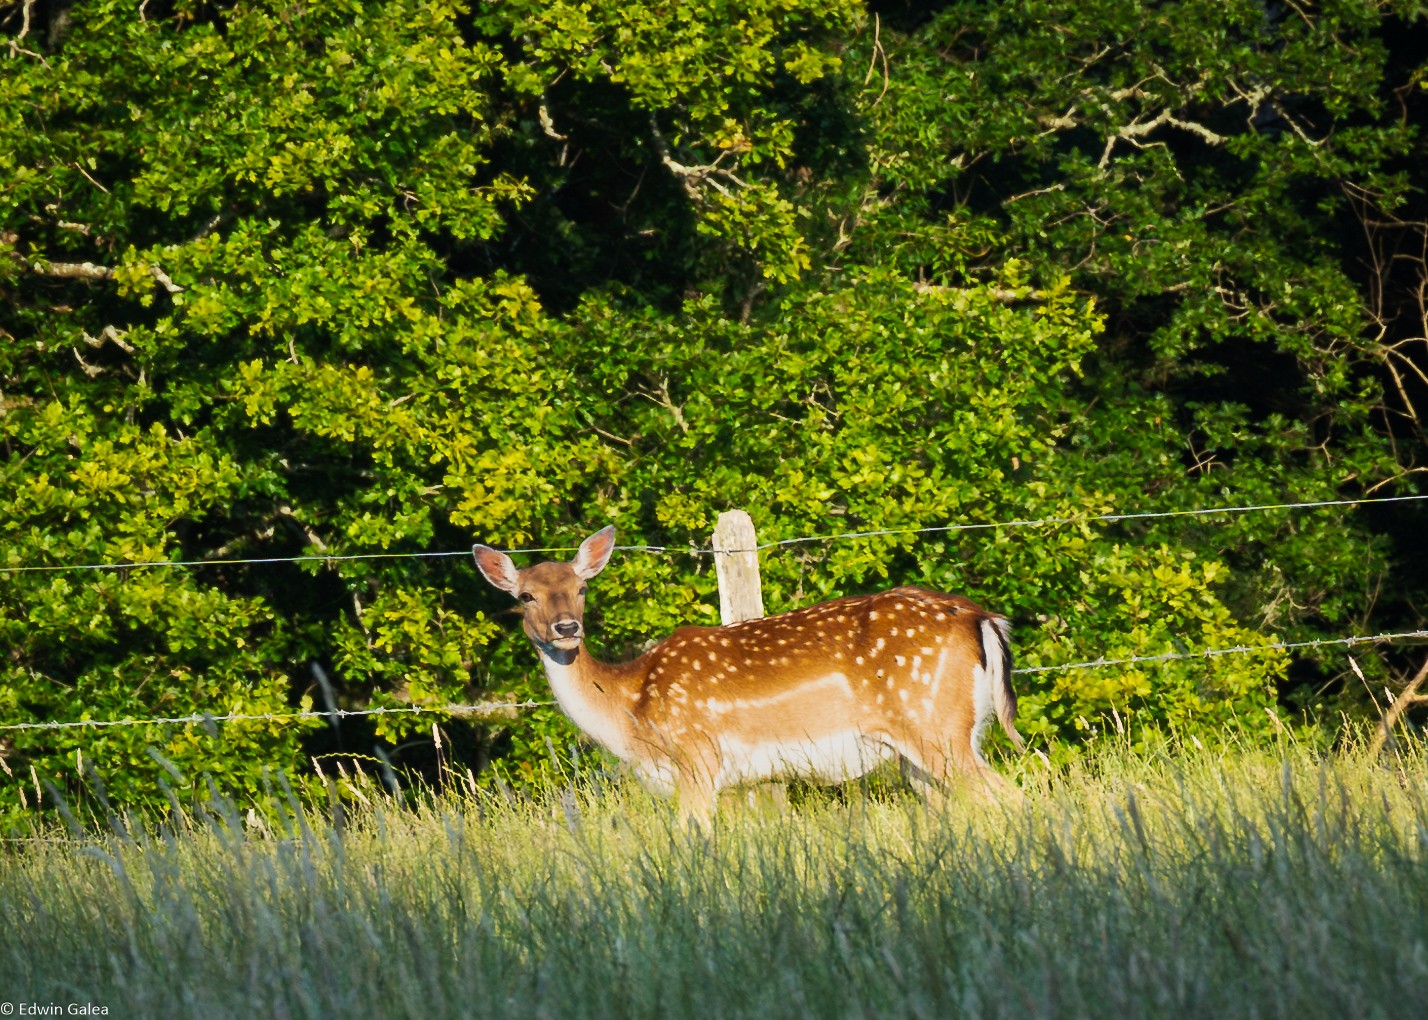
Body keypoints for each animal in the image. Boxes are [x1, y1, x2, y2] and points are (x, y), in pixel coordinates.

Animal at [474, 525, 1022, 817]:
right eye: (526, 596)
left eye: (582, 588)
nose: (566, 627)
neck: (630, 710)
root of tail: (981, 617)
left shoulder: (697, 756)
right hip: (939, 742)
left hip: (934, 727)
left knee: (1011, 797)